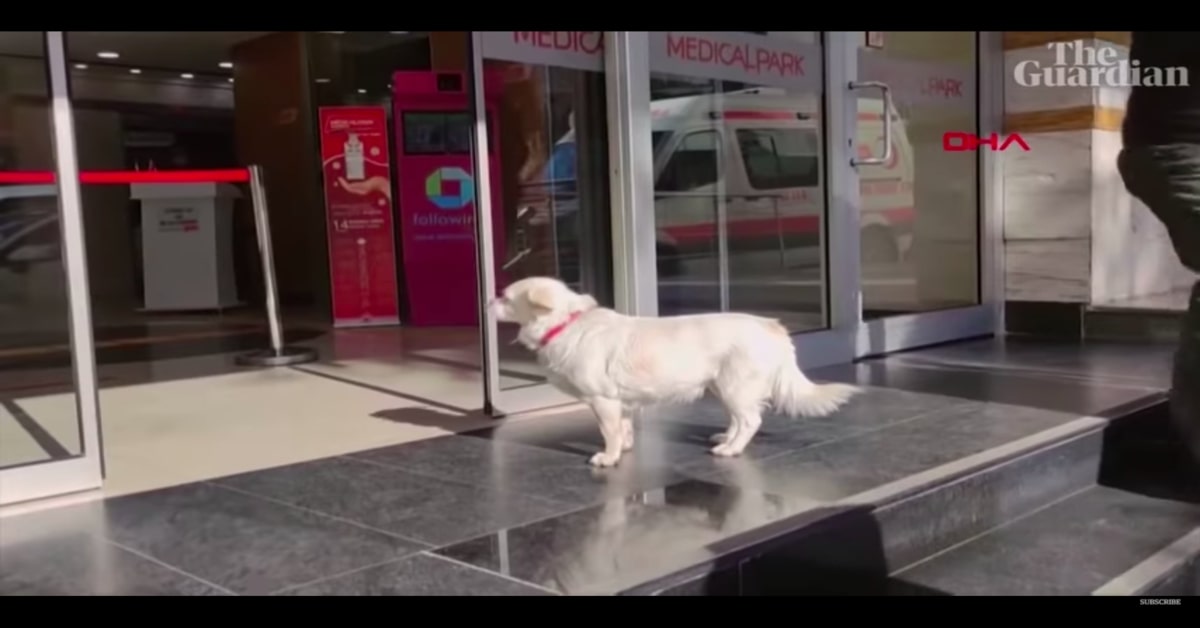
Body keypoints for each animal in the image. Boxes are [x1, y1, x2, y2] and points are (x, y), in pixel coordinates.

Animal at [489, 278, 864, 465]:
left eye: (505, 296)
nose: (487, 301)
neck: (567, 323)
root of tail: (773, 327)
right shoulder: (620, 401)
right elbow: (624, 428)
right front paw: (626, 447)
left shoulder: (602, 400)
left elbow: (609, 432)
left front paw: (609, 457)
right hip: (721, 387)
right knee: (738, 419)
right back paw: (725, 438)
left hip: (735, 386)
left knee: (750, 421)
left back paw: (731, 450)